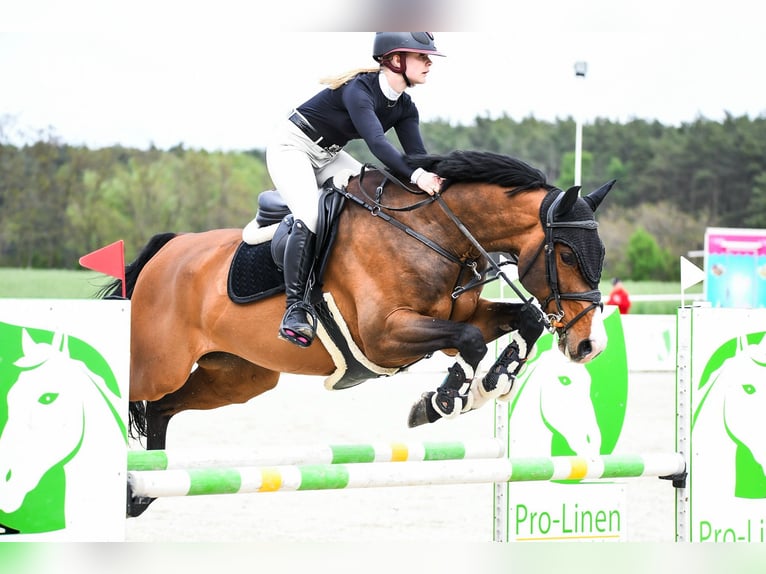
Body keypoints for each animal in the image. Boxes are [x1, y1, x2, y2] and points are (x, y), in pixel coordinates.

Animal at [105, 151, 613, 468]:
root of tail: (167, 251)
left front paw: (493, 382)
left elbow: (520, 321)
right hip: (161, 364)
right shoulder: (383, 336)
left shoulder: (457, 317)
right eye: (567, 255)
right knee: (136, 393)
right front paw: (444, 400)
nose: (590, 345)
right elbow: (468, 343)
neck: (435, 231)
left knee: (163, 409)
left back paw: (141, 490)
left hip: (238, 376)